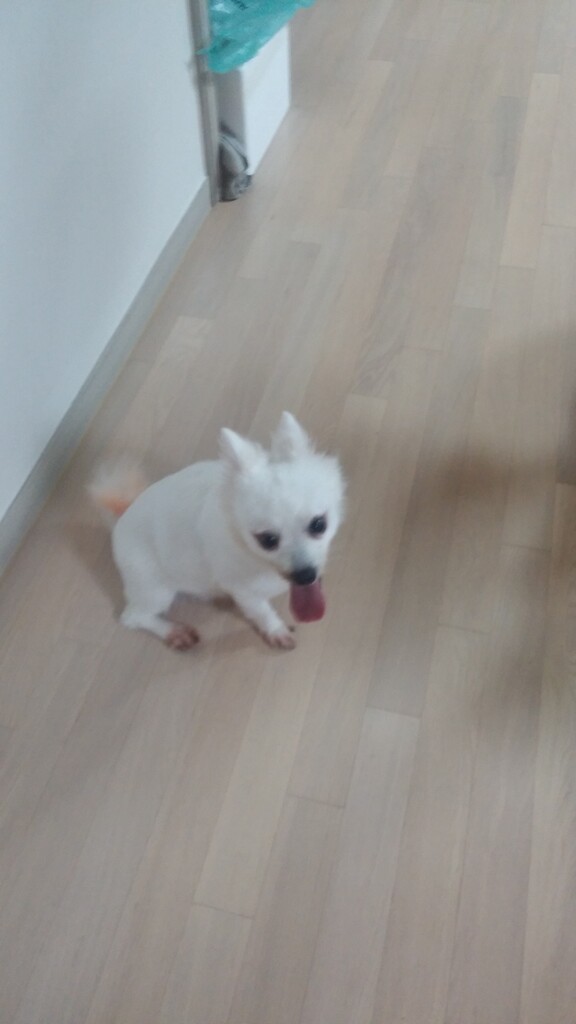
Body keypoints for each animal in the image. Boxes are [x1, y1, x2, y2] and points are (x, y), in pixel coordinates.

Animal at [89, 413, 345, 650]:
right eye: (268, 540)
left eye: (319, 525)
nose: (305, 575)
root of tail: (123, 514)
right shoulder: (245, 590)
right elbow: (262, 612)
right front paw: (276, 631)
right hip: (153, 587)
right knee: (133, 618)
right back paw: (173, 631)